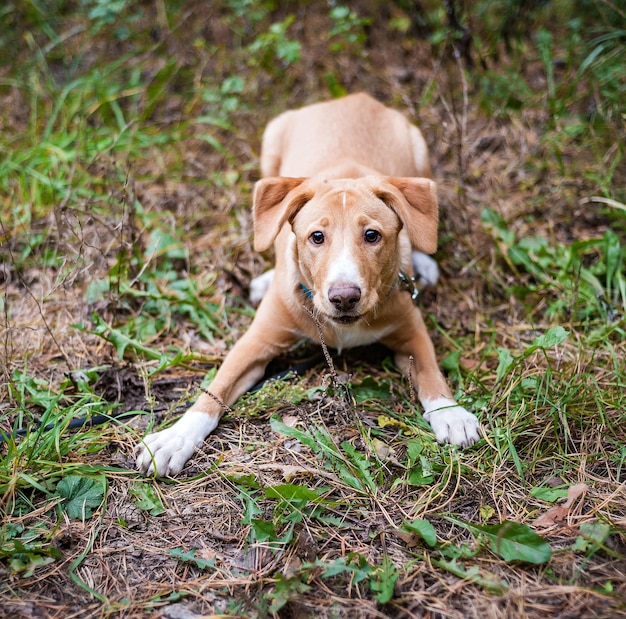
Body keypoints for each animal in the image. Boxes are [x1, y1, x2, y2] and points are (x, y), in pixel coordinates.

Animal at [135, 94, 478, 478]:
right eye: (316, 237)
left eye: (372, 235)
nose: (344, 297)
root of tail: (357, 97)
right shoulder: (255, 341)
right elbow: (216, 388)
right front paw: (175, 438)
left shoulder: (411, 329)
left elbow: (431, 371)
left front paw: (450, 413)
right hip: (271, 145)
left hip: (421, 154)